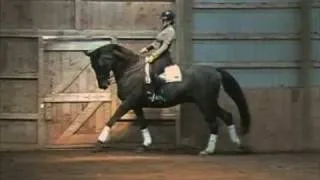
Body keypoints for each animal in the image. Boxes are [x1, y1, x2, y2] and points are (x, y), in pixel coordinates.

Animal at [84, 43, 251, 155]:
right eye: (93, 65)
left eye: (100, 64)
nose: (103, 85)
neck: (130, 70)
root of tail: (215, 70)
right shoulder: (136, 105)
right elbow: (142, 123)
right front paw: (145, 145)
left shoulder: (129, 102)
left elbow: (113, 118)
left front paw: (98, 142)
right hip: (208, 102)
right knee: (227, 116)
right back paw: (238, 145)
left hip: (205, 103)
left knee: (214, 123)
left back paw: (208, 150)